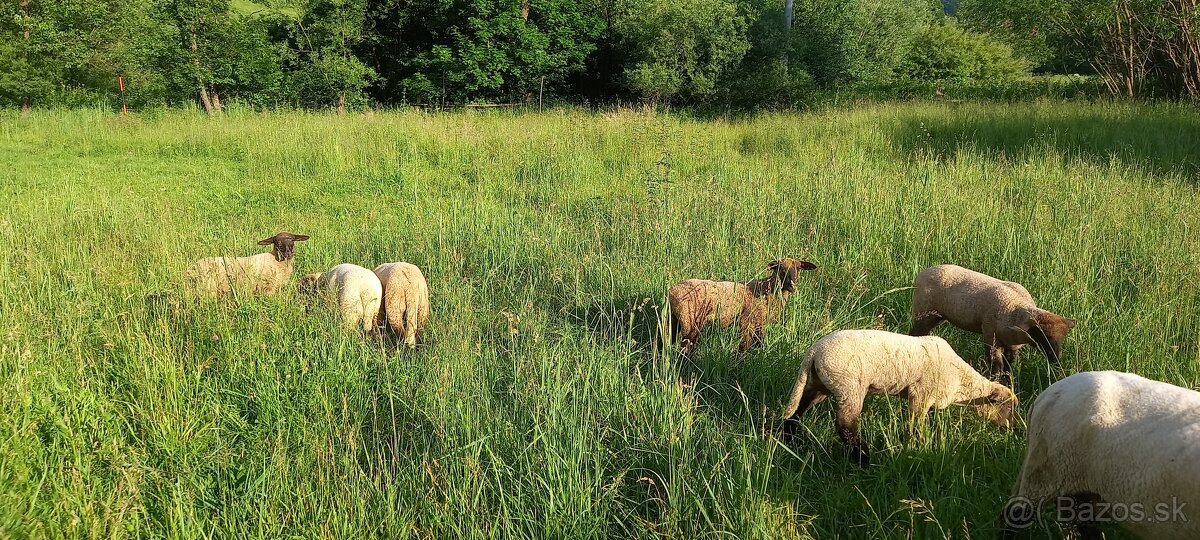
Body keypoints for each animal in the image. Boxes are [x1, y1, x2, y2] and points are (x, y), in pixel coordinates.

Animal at [667, 256, 816, 355]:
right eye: (781, 269)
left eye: (798, 268)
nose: (793, 285)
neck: (766, 288)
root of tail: (672, 292)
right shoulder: (748, 323)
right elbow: (744, 346)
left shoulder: (760, 325)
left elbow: (758, 344)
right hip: (690, 324)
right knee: (685, 349)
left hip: (674, 321)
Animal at [777, 328, 1022, 468]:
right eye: (1008, 408)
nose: (1015, 428)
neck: (961, 380)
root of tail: (814, 351)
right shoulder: (920, 395)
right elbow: (913, 426)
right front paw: (913, 448)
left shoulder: (930, 402)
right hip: (849, 385)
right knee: (845, 425)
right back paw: (863, 459)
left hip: (818, 384)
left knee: (796, 412)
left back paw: (790, 439)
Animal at [907, 264, 1080, 374]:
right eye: (1039, 334)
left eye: (1062, 339)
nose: (1054, 358)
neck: (1015, 309)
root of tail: (924, 272)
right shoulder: (991, 339)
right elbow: (996, 367)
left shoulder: (1012, 345)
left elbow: (1008, 368)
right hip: (923, 312)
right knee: (914, 334)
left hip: (937, 316)